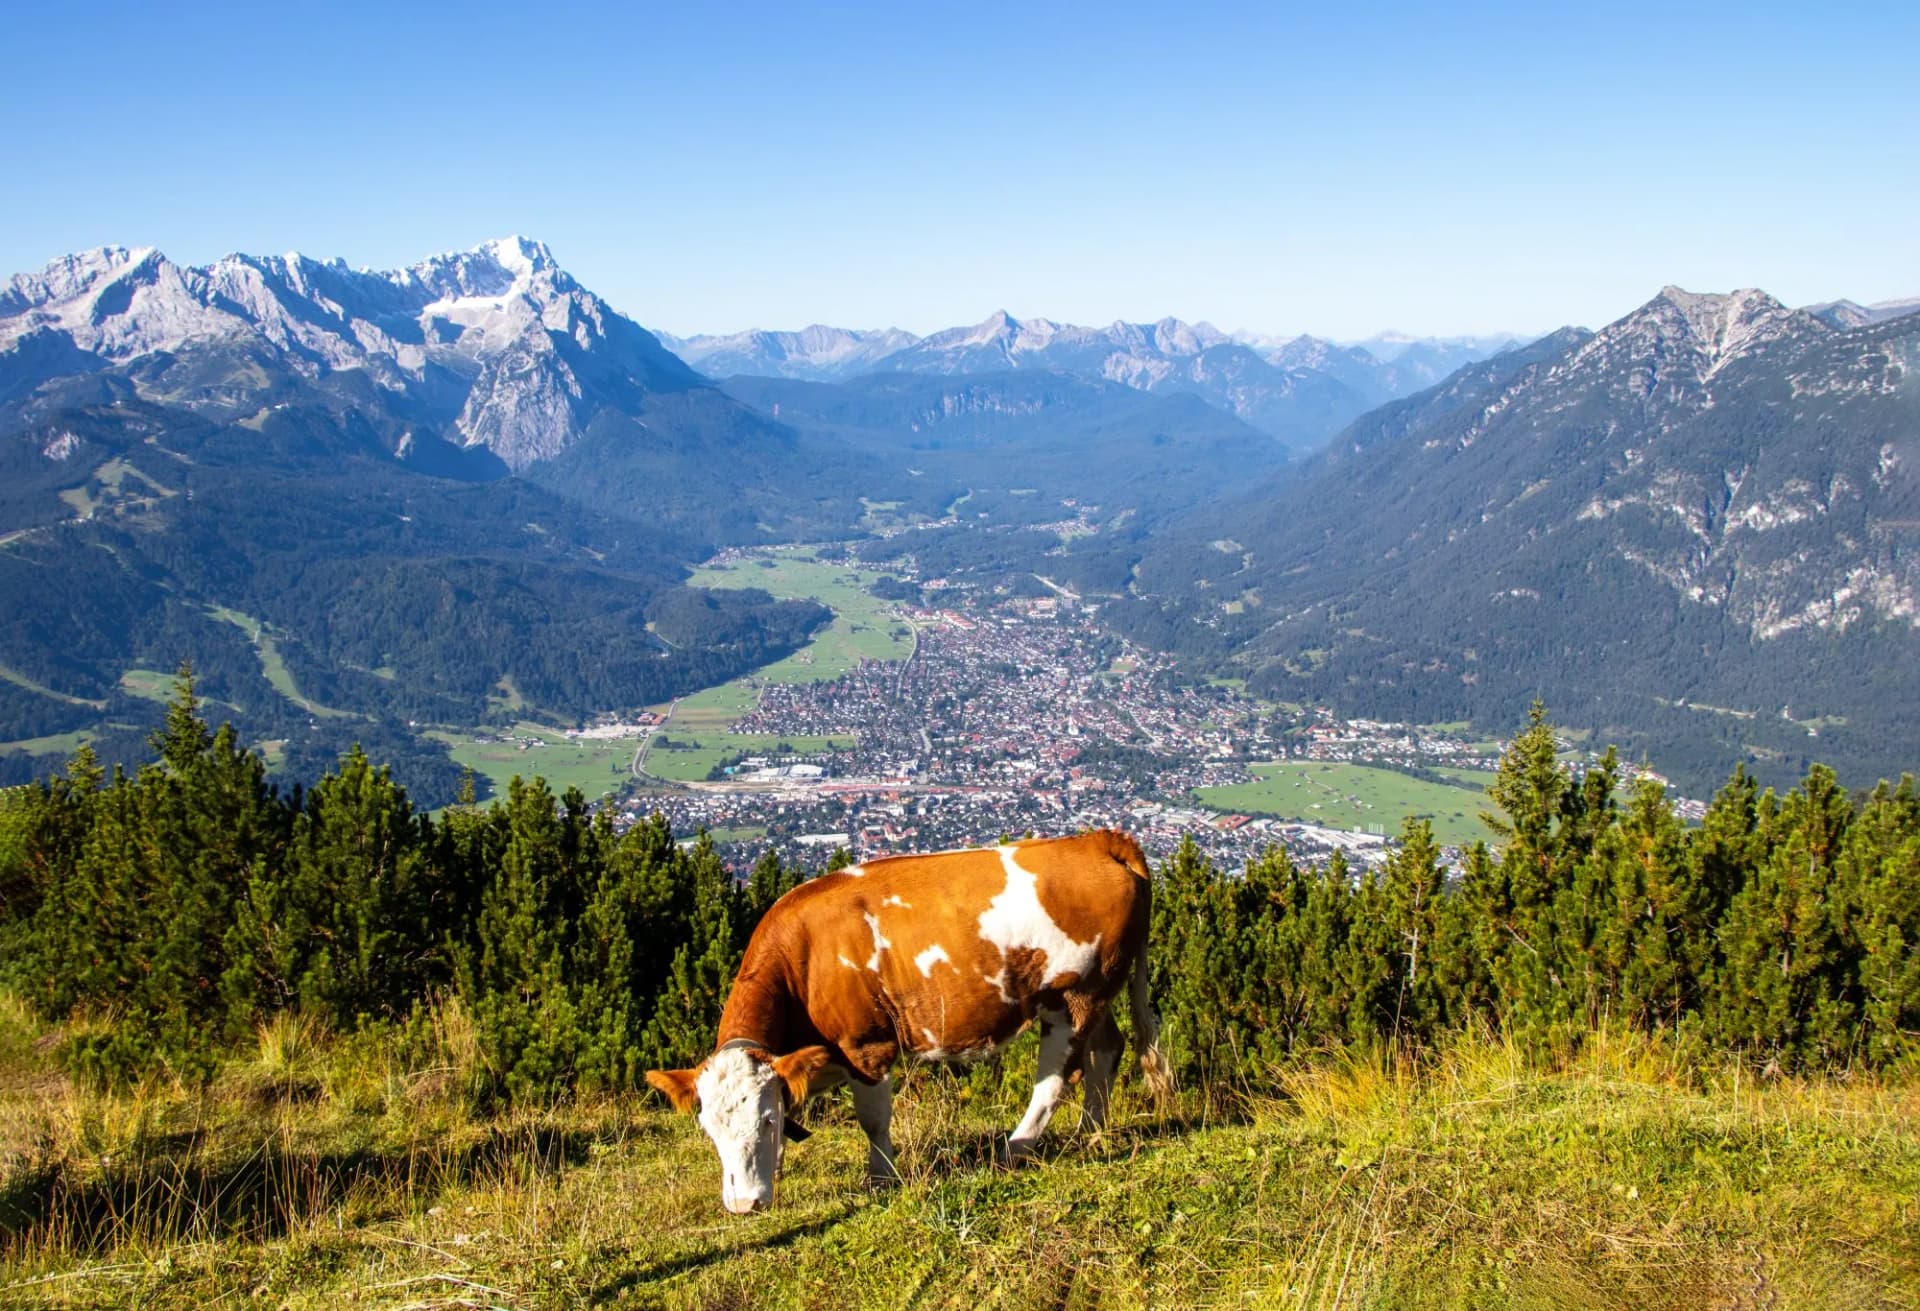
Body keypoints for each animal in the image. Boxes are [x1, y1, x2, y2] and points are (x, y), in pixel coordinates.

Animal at [646, 829, 1175, 1214]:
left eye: (766, 1119)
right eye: (708, 1129)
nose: (743, 1204)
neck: (804, 960)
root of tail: (1097, 841)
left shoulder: (867, 1046)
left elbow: (873, 1121)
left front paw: (882, 1178)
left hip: (1073, 998)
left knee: (1055, 1079)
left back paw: (1014, 1149)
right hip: (1098, 993)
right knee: (1107, 1051)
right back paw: (1093, 1134)